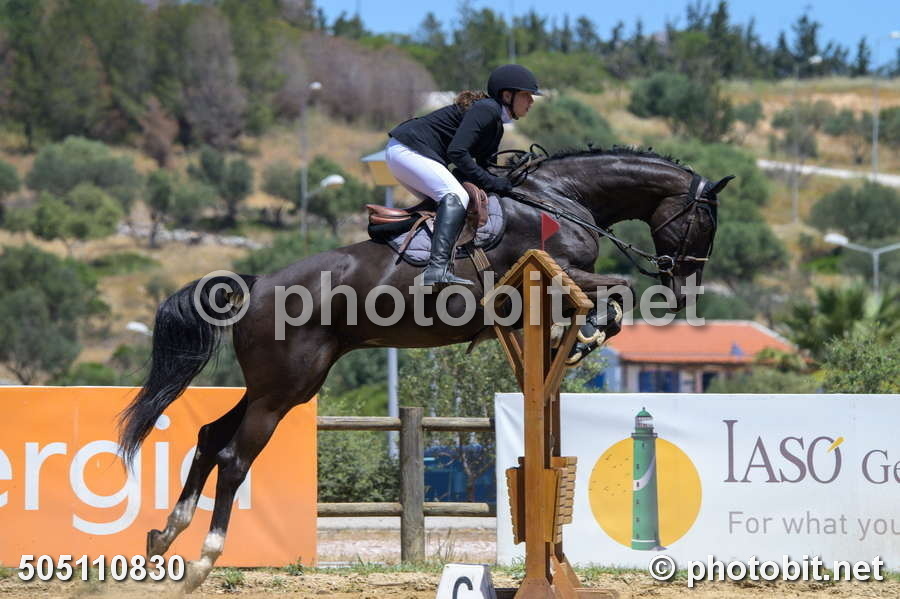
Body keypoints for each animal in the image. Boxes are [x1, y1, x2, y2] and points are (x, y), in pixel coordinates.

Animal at [118, 147, 731, 590]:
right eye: (704, 222)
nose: (682, 289)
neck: (558, 200)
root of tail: (257, 283)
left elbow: (614, 299)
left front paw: (581, 338)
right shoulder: (554, 278)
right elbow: (619, 289)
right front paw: (588, 336)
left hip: (286, 383)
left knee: (208, 436)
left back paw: (164, 538)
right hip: (282, 387)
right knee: (233, 457)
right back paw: (202, 560)